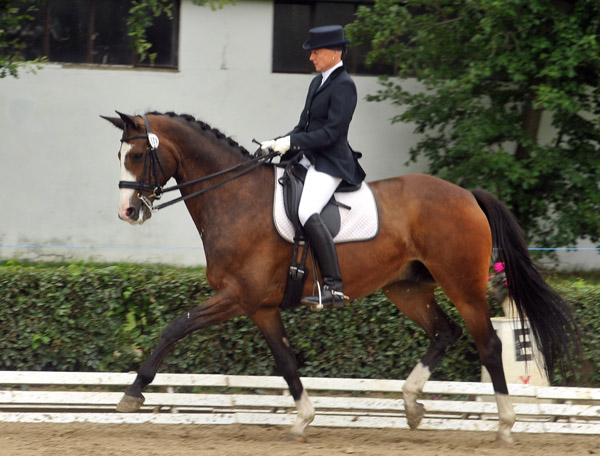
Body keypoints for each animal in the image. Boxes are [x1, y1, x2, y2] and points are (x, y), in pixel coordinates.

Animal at [104, 111, 580, 446]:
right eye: (120, 156)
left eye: (138, 155)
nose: (127, 212)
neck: (234, 198)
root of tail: (467, 195)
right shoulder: (260, 307)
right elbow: (285, 360)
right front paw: (303, 420)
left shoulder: (237, 296)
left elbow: (175, 326)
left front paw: (133, 393)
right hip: (407, 288)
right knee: (444, 333)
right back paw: (412, 404)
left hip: (462, 285)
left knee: (489, 344)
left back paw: (505, 426)